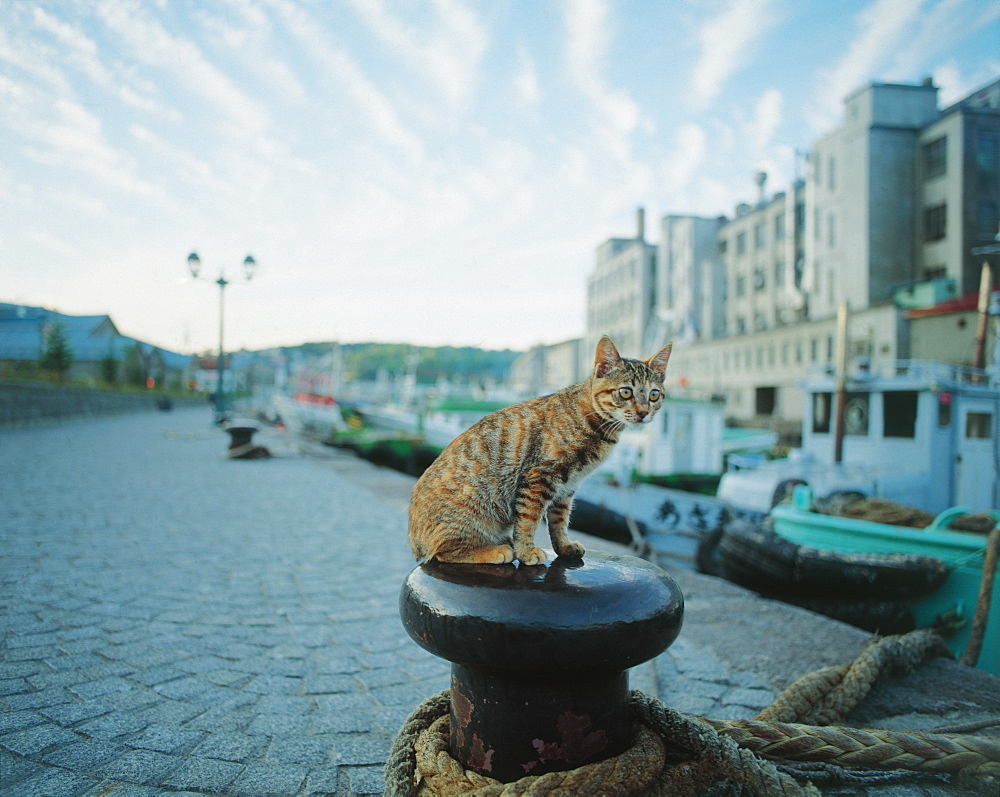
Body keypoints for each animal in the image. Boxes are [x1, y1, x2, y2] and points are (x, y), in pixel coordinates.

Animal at [406, 336, 672, 564]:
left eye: (654, 394)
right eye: (625, 392)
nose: (643, 412)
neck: (593, 420)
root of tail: (414, 542)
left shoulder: (567, 487)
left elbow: (559, 521)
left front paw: (563, 546)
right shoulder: (539, 477)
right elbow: (528, 520)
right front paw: (525, 551)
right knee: (443, 551)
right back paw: (494, 550)